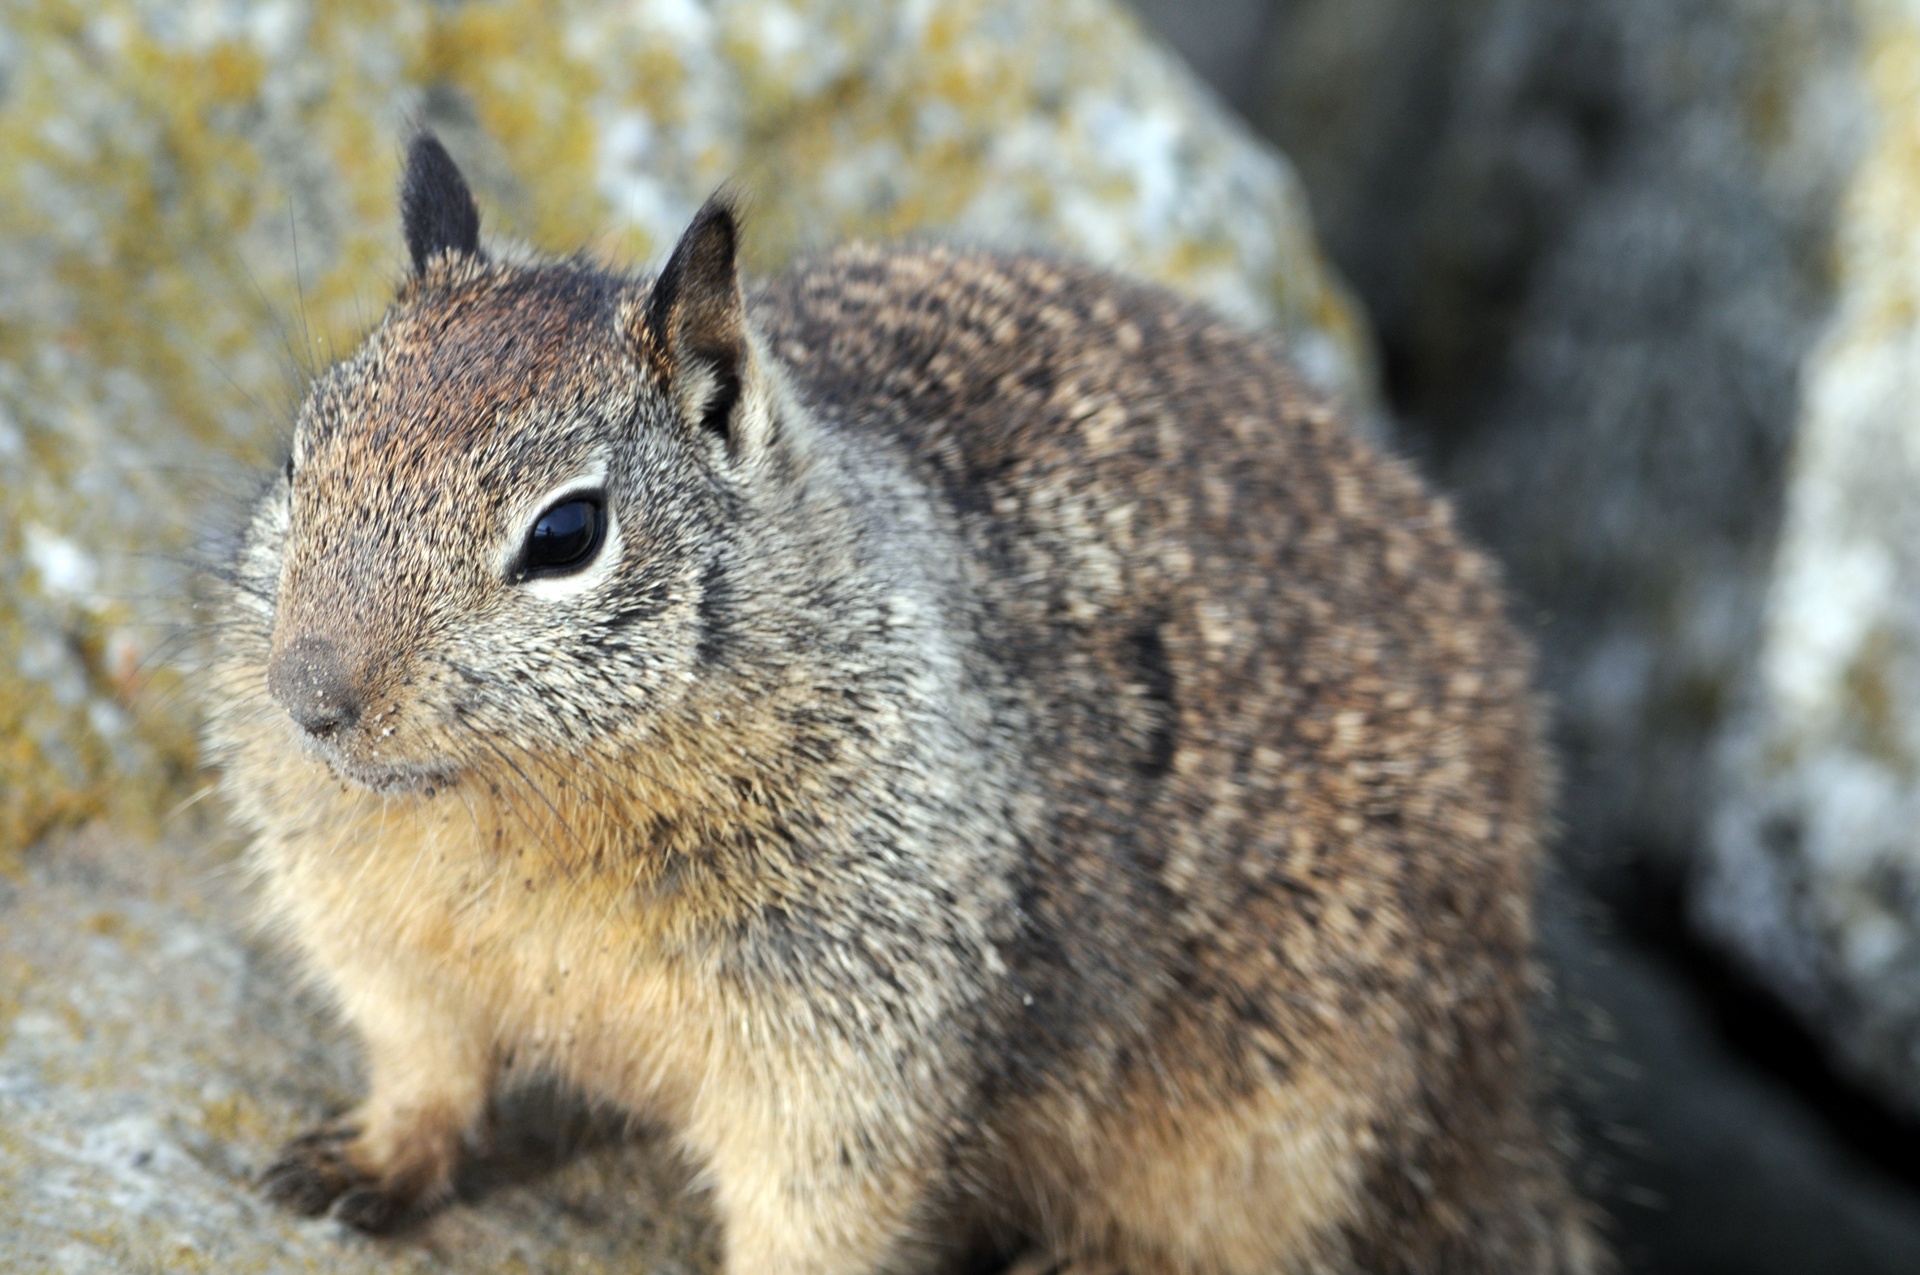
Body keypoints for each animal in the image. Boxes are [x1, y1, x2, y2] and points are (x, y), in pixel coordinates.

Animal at [206, 131, 1605, 1275]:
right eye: (303, 452)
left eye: (566, 534)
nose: (309, 696)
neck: (521, 816)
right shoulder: (381, 941)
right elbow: (425, 1070)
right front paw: (361, 1162)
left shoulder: (854, 1041)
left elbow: (819, 1209)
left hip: (1298, 1132)